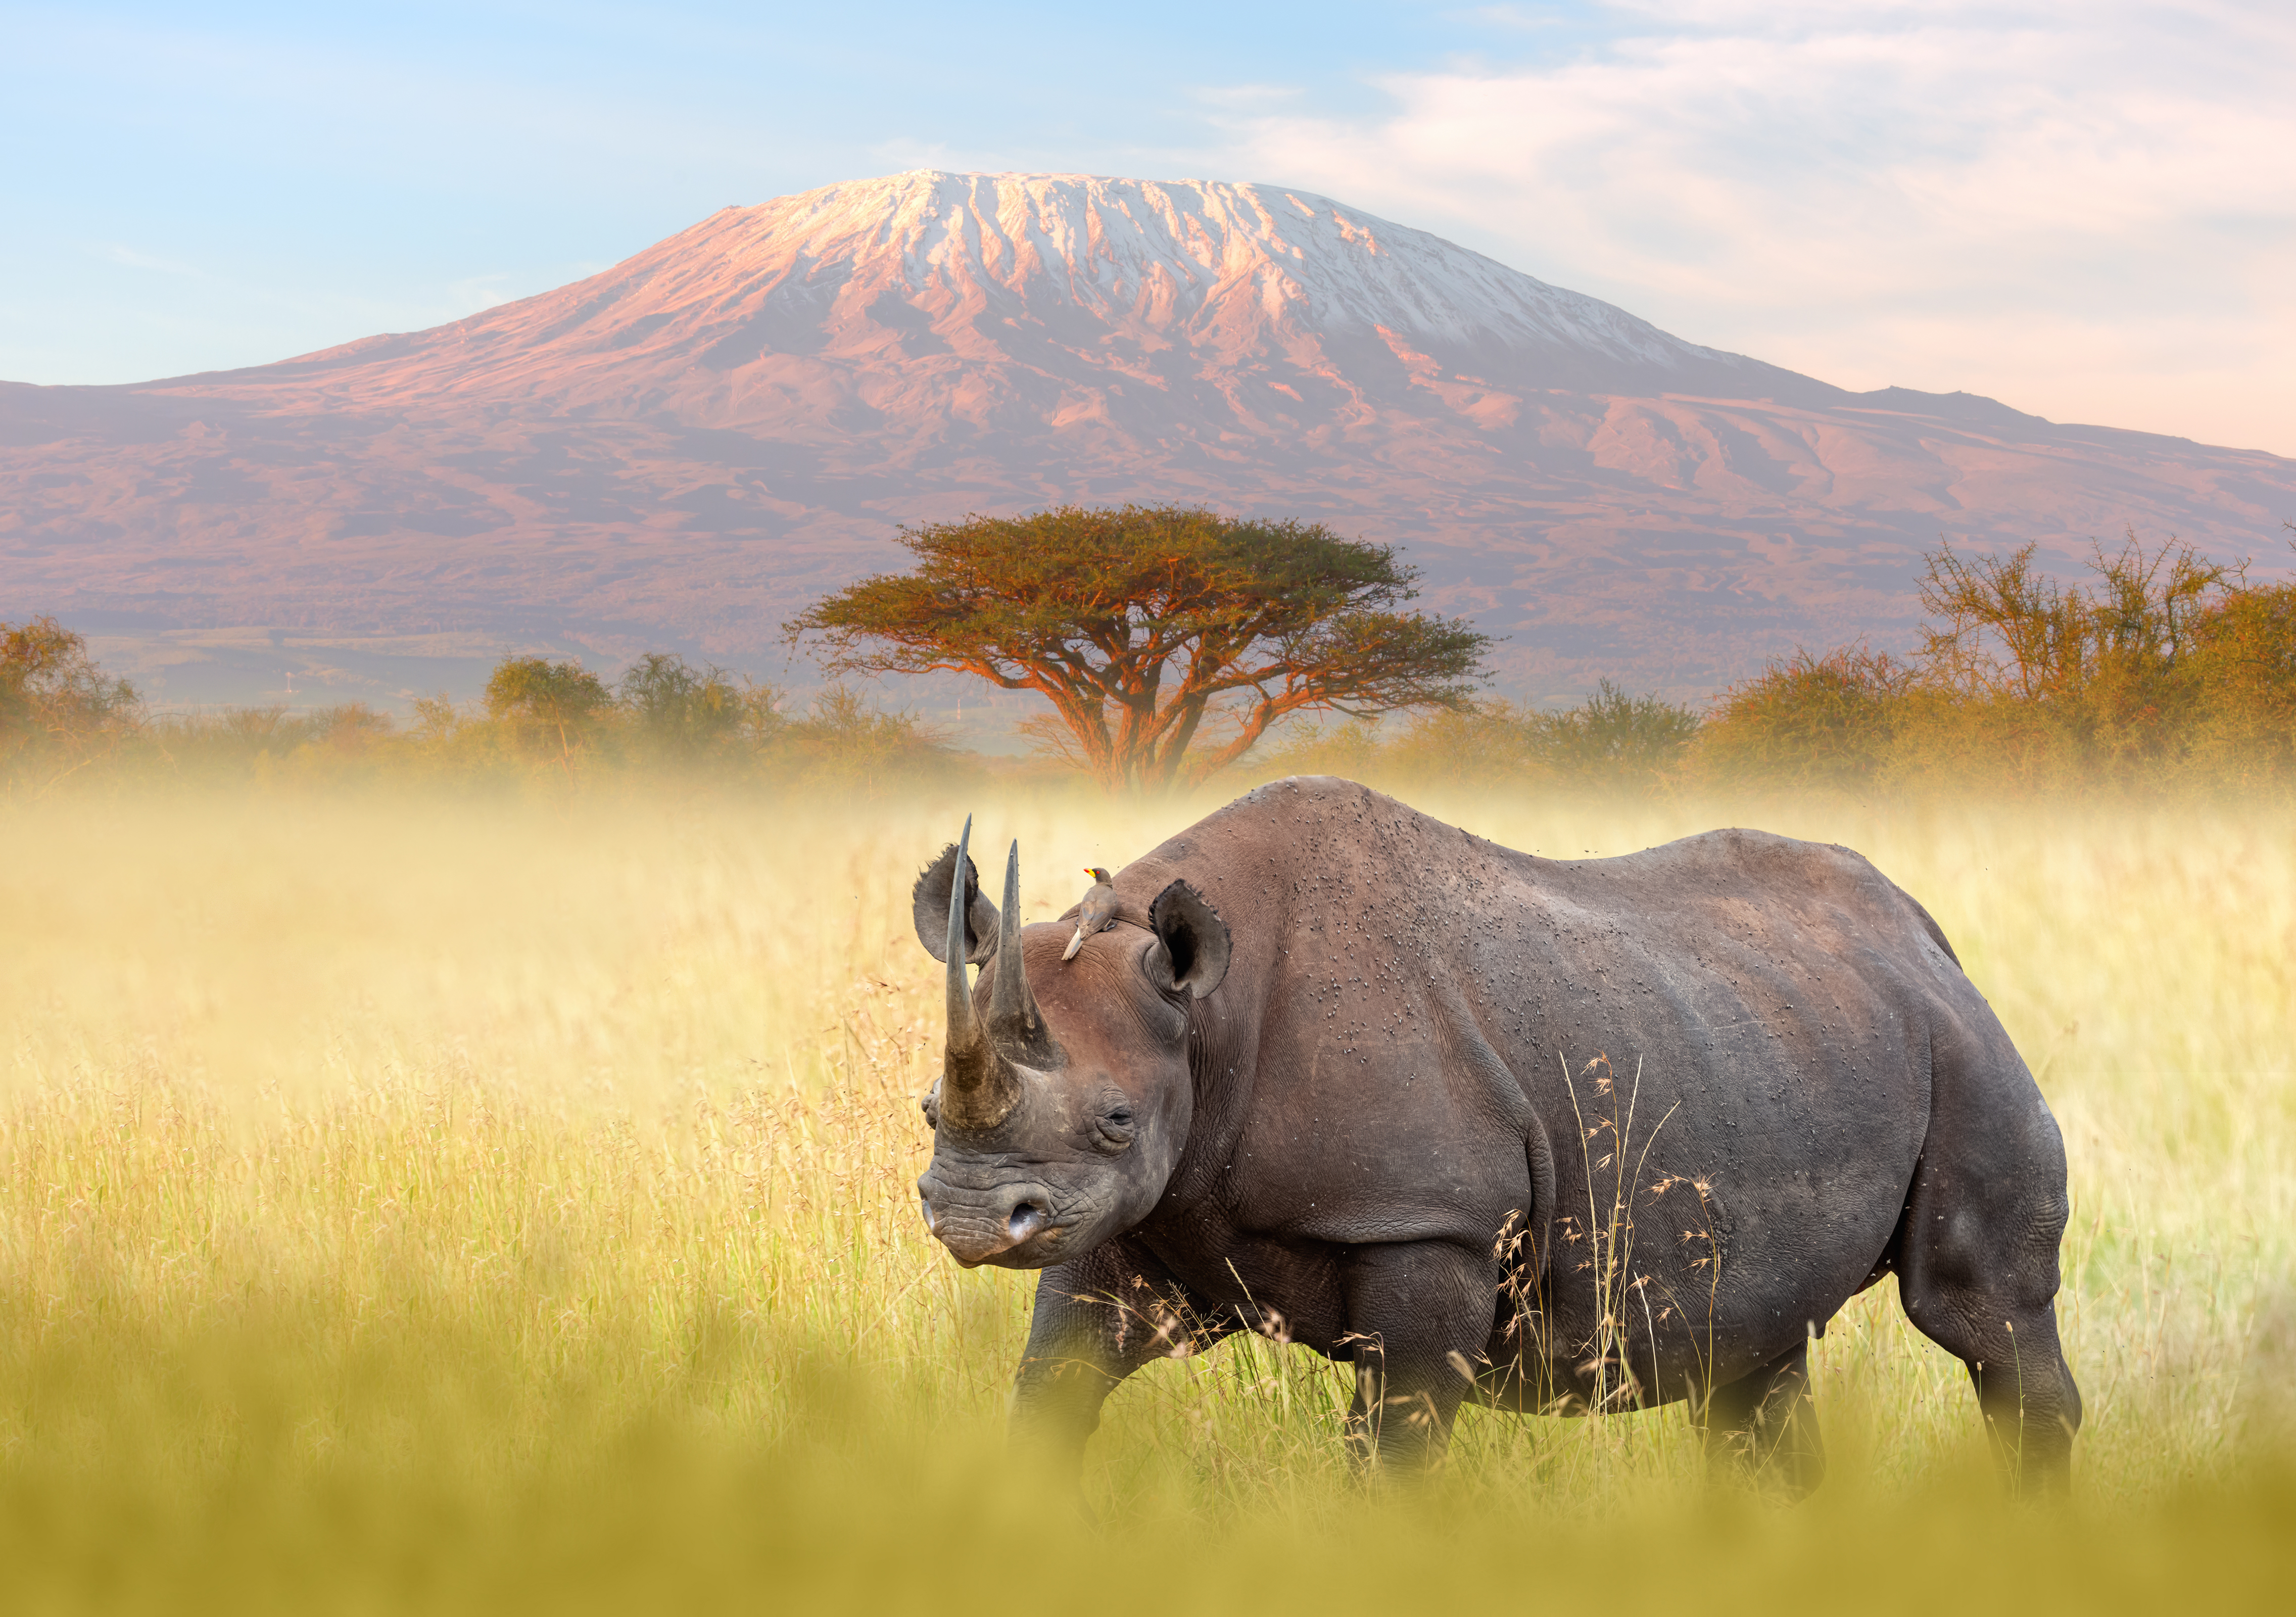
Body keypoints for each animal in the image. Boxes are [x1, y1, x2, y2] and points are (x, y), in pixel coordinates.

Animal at [912, 778, 2080, 1492]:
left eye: (1116, 1120)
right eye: (927, 1111)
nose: (971, 1215)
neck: (1205, 1018)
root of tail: (1924, 933)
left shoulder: (1430, 1223)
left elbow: (1392, 1450)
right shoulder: (1137, 1219)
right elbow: (1051, 1391)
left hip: (1961, 1049)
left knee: (1977, 1309)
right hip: (1775, 1036)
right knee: (1753, 1362)